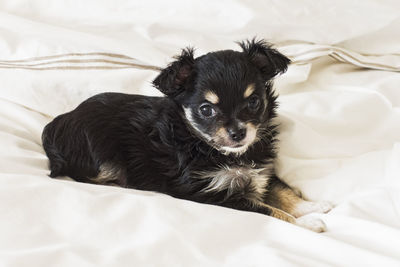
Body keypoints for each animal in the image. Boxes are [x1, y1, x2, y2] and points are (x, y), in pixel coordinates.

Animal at [42, 38, 332, 233]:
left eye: (253, 102)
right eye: (206, 109)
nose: (238, 132)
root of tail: (61, 120)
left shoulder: (260, 169)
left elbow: (280, 190)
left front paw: (313, 207)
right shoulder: (210, 193)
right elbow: (266, 208)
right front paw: (307, 223)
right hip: (101, 158)